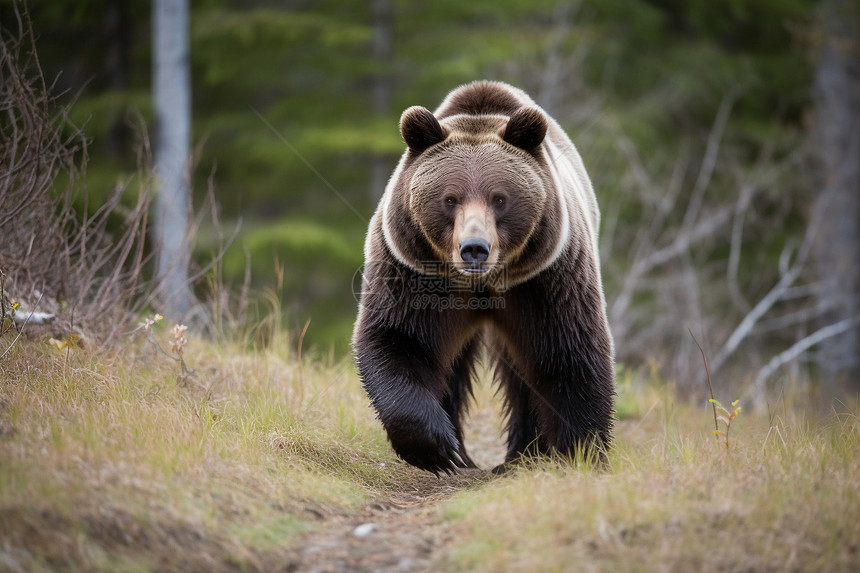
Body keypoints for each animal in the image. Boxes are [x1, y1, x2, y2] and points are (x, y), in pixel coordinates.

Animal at [352, 80, 616, 474]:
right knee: (453, 367)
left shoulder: (548, 279)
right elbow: (400, 339)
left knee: (522, 372)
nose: (474, 248)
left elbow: (569, 351)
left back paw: (523, 454)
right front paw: (437, 449)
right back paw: (466, 454)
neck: (483, 285)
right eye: (450, 199)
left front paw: (580, 451)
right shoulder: (413, 274)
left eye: (499, 199)